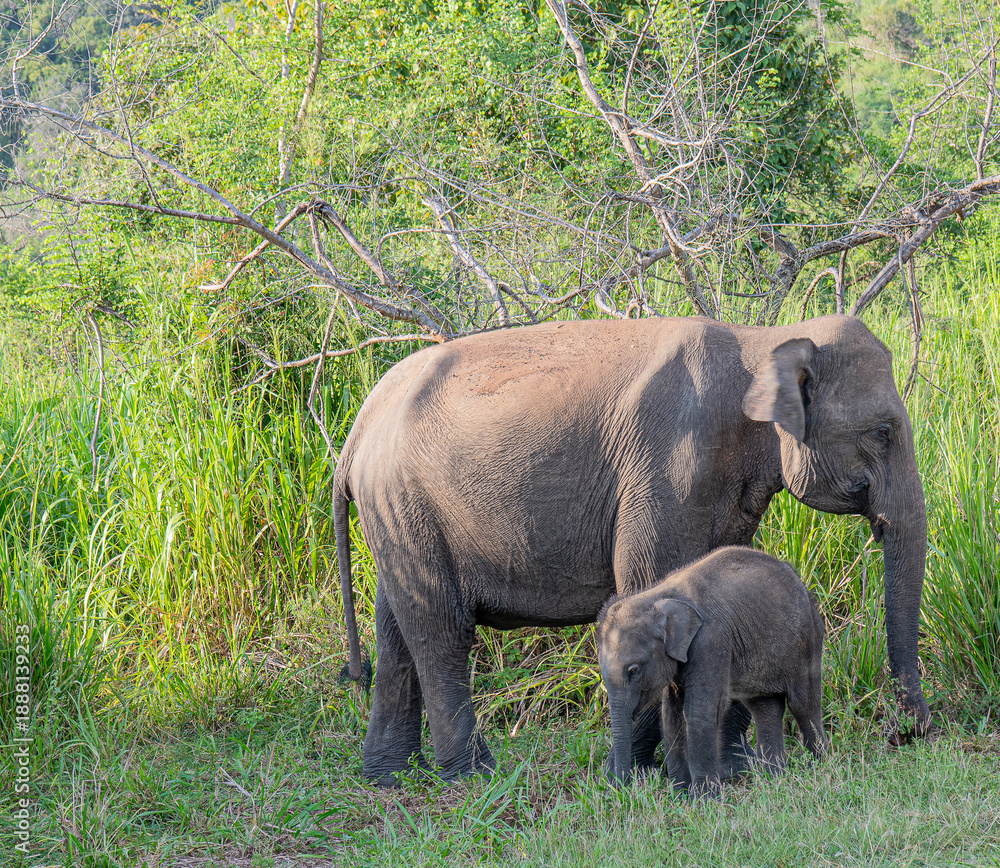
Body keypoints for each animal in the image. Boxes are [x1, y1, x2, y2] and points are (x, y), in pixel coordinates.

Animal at [597, 546, 826, 796]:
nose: (624, 785)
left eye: (633, 670)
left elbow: (700, 712)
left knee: (802, 704)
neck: (656, 596)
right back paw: (773, 778)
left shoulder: (711, 642)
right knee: (766, 708)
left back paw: (818, 765)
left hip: (807, 640)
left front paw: (704, 798)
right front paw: (681, 794)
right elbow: (671, 715)